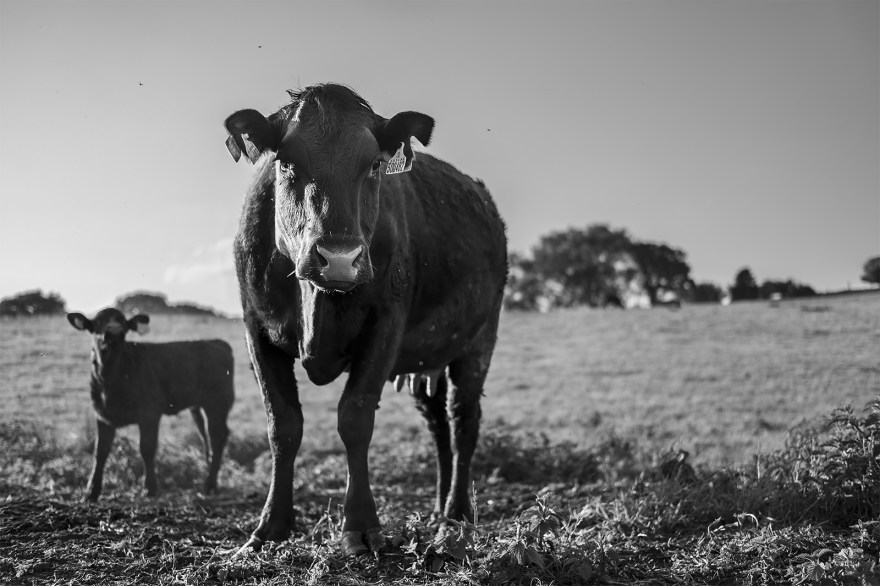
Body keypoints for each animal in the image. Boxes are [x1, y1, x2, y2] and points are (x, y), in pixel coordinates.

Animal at [67, 308, 235, 502]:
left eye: (123, 323)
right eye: (98, 322)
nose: (114, 332)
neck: (111, 378)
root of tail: (216, 342)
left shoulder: (149, 414)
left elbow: (146, 449)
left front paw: (150, 488)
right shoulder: (102, 415)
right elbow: (100, 451)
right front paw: (91, 491)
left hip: (217, 404)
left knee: (217, 438)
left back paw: (210, 485)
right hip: (198, 406)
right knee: (205, 435)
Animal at [224, 83, 507, 556]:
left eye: (374, 164)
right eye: (287, 162)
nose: (339, 258)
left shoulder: (385, 328)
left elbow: (354, 420)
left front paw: (359, 526)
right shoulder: (256, 330)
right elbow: (283, 425)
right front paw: (270, 526)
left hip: (478, 343)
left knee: (462, 423)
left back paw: (456, 518)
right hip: (426, 360)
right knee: (438, 428)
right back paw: (438, 508)